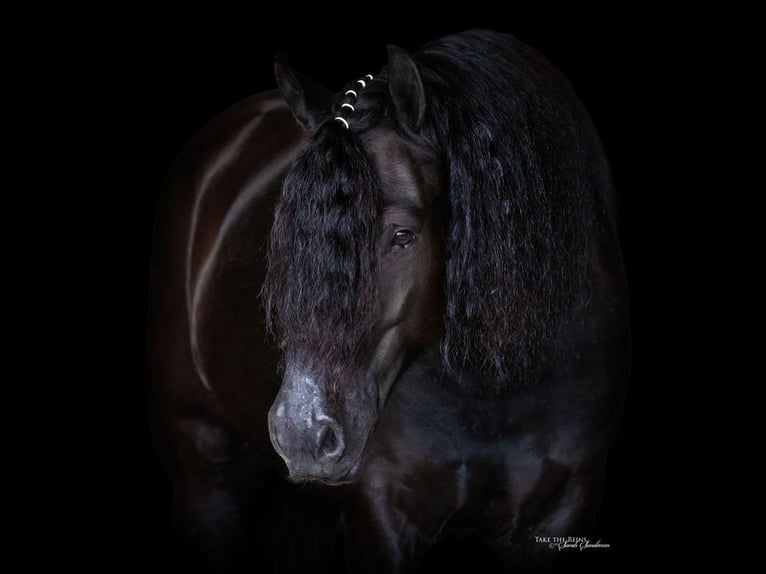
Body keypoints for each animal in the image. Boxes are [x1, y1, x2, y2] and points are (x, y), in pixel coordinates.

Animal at [146, 29, 630, 572]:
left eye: (402, 235)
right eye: (289, 239)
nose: (301, 433)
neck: (493, 392)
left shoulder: (562, 512)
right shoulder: (382, 513)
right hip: (204, 468)